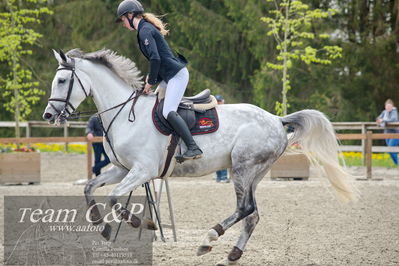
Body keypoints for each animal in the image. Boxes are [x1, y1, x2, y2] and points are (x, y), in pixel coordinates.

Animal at [43, 48, 356, 264]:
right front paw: (104, 228)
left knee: (244, 209)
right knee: (252, 215)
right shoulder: (122, 169)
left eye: (62, 80)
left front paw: (140, 222)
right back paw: (232, 253)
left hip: (242, 168)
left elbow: (114, 197)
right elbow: (89, 188)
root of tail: (277, 119)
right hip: (254, 173)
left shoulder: (142, 171)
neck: (124, 114)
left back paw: (209, 238)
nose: (48, 115)